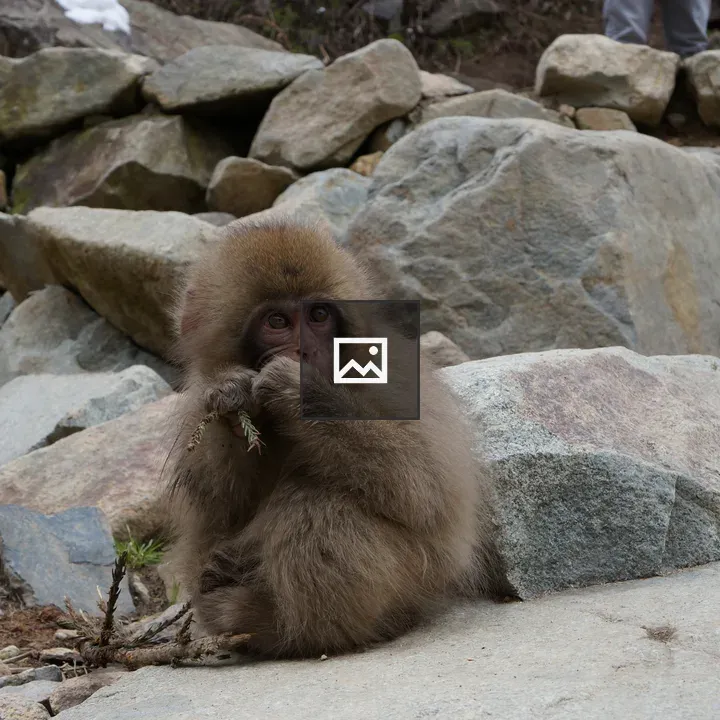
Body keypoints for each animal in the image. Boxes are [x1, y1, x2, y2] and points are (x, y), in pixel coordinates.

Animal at [161, 214, 504, 659]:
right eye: (277, 322)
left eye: (319, 315)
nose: (306, 352)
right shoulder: (195, 404)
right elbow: (219, 508)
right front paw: (233, 396)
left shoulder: (394, 368)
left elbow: (429, 487)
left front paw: (302, 393)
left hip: (420, 574)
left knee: (319, 502)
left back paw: (295, 629)